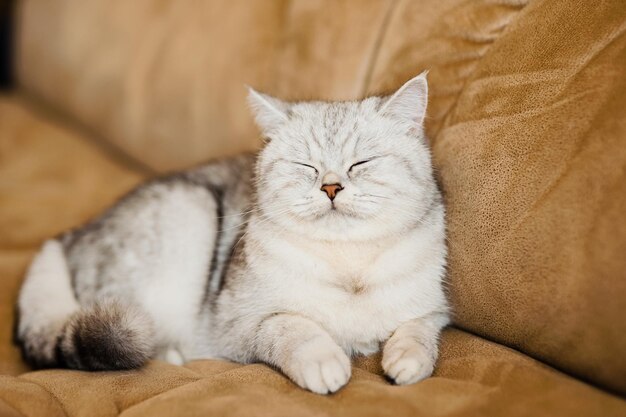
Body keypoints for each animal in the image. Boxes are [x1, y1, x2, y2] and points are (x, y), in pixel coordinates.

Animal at [15, 72, 448, 394]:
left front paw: (407, 359)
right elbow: (290, 325)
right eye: (304, 166)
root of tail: (68, 237)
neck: (348, 265)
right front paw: (324, 361)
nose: (330, 187)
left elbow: (419, 329)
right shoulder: (236, 328)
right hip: (187, 212)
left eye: (362, 163)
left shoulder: (435, 309)